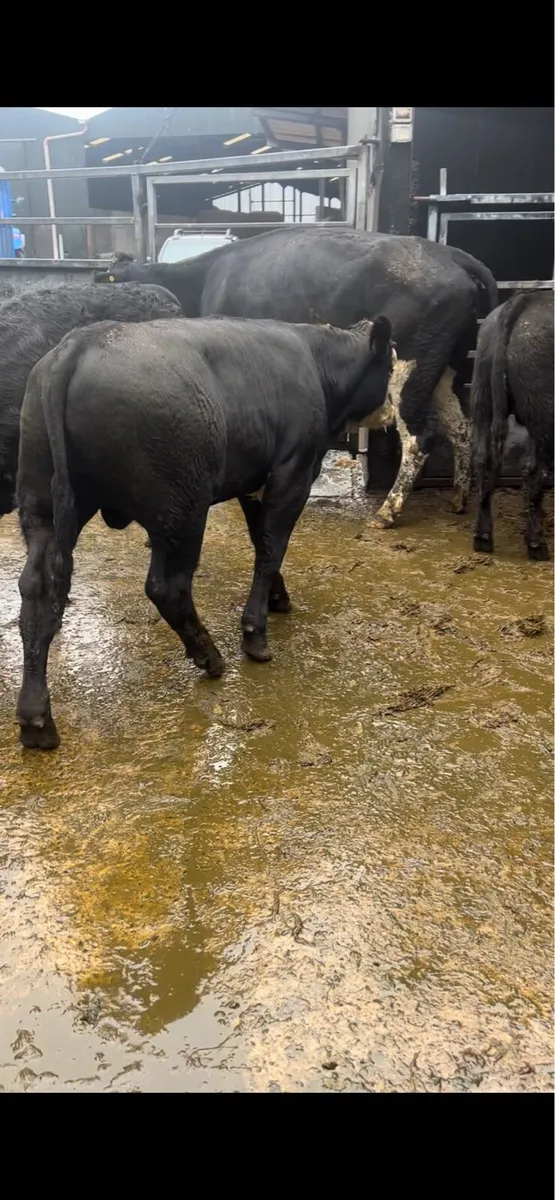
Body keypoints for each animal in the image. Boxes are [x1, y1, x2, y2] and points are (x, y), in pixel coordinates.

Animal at [15, 312, 394, 749]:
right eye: (390, 364)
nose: (393, 410)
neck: (316, 361)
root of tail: (82, 342)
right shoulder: (293, 473)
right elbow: (272, 546)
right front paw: (255, 634)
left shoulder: (253, 483)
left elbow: (260, 539)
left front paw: (278, 599)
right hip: (183, 508)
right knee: (167, 587)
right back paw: (210, 657)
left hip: (43, 507)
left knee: (38, 590)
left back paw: (36, 720)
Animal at [94, 225, 498, 527]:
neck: (206, 279)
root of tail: (450, 254)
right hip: (443, 367)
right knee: (461, 428)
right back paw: (459, 498)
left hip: (408, 369)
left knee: (418, 435)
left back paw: (388, 511)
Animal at [471, 289, 554, 561]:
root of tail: (523, 300)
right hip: (544, 413)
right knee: (536, 471)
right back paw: (536, 544)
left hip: (482, 398)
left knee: (483, 460)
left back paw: (483, 536)